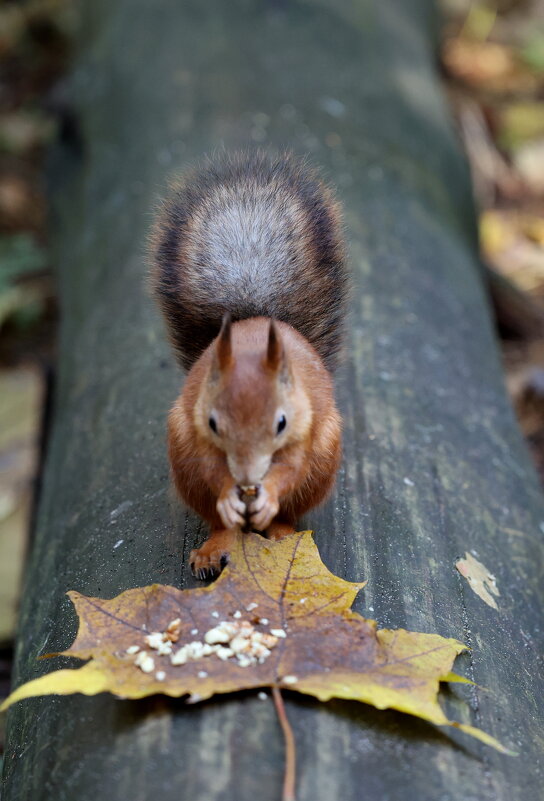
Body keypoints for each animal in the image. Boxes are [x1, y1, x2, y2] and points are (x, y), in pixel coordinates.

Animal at [149, 152, 346, 576]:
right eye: (212, 423)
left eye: (282, 423)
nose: (247, 478)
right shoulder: (196, 425)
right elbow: (211, 466)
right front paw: (228, 493)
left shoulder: (305, 427)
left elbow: (291, 468)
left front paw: (268, 494)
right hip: (181, 454)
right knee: (217, 522)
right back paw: (215, 546)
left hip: (324, 460)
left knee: (288, 511)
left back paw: (283, 534)